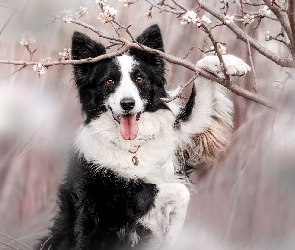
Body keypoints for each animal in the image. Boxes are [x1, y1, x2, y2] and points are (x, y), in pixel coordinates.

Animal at [35, 24, 251, 249]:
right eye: (109, 81)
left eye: (140, 79)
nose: (128, 103)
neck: (132, 148)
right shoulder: (114, 203)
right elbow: (177, 191)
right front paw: (174, 232)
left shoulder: (184, 135)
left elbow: (201, 87)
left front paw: (228, 63)